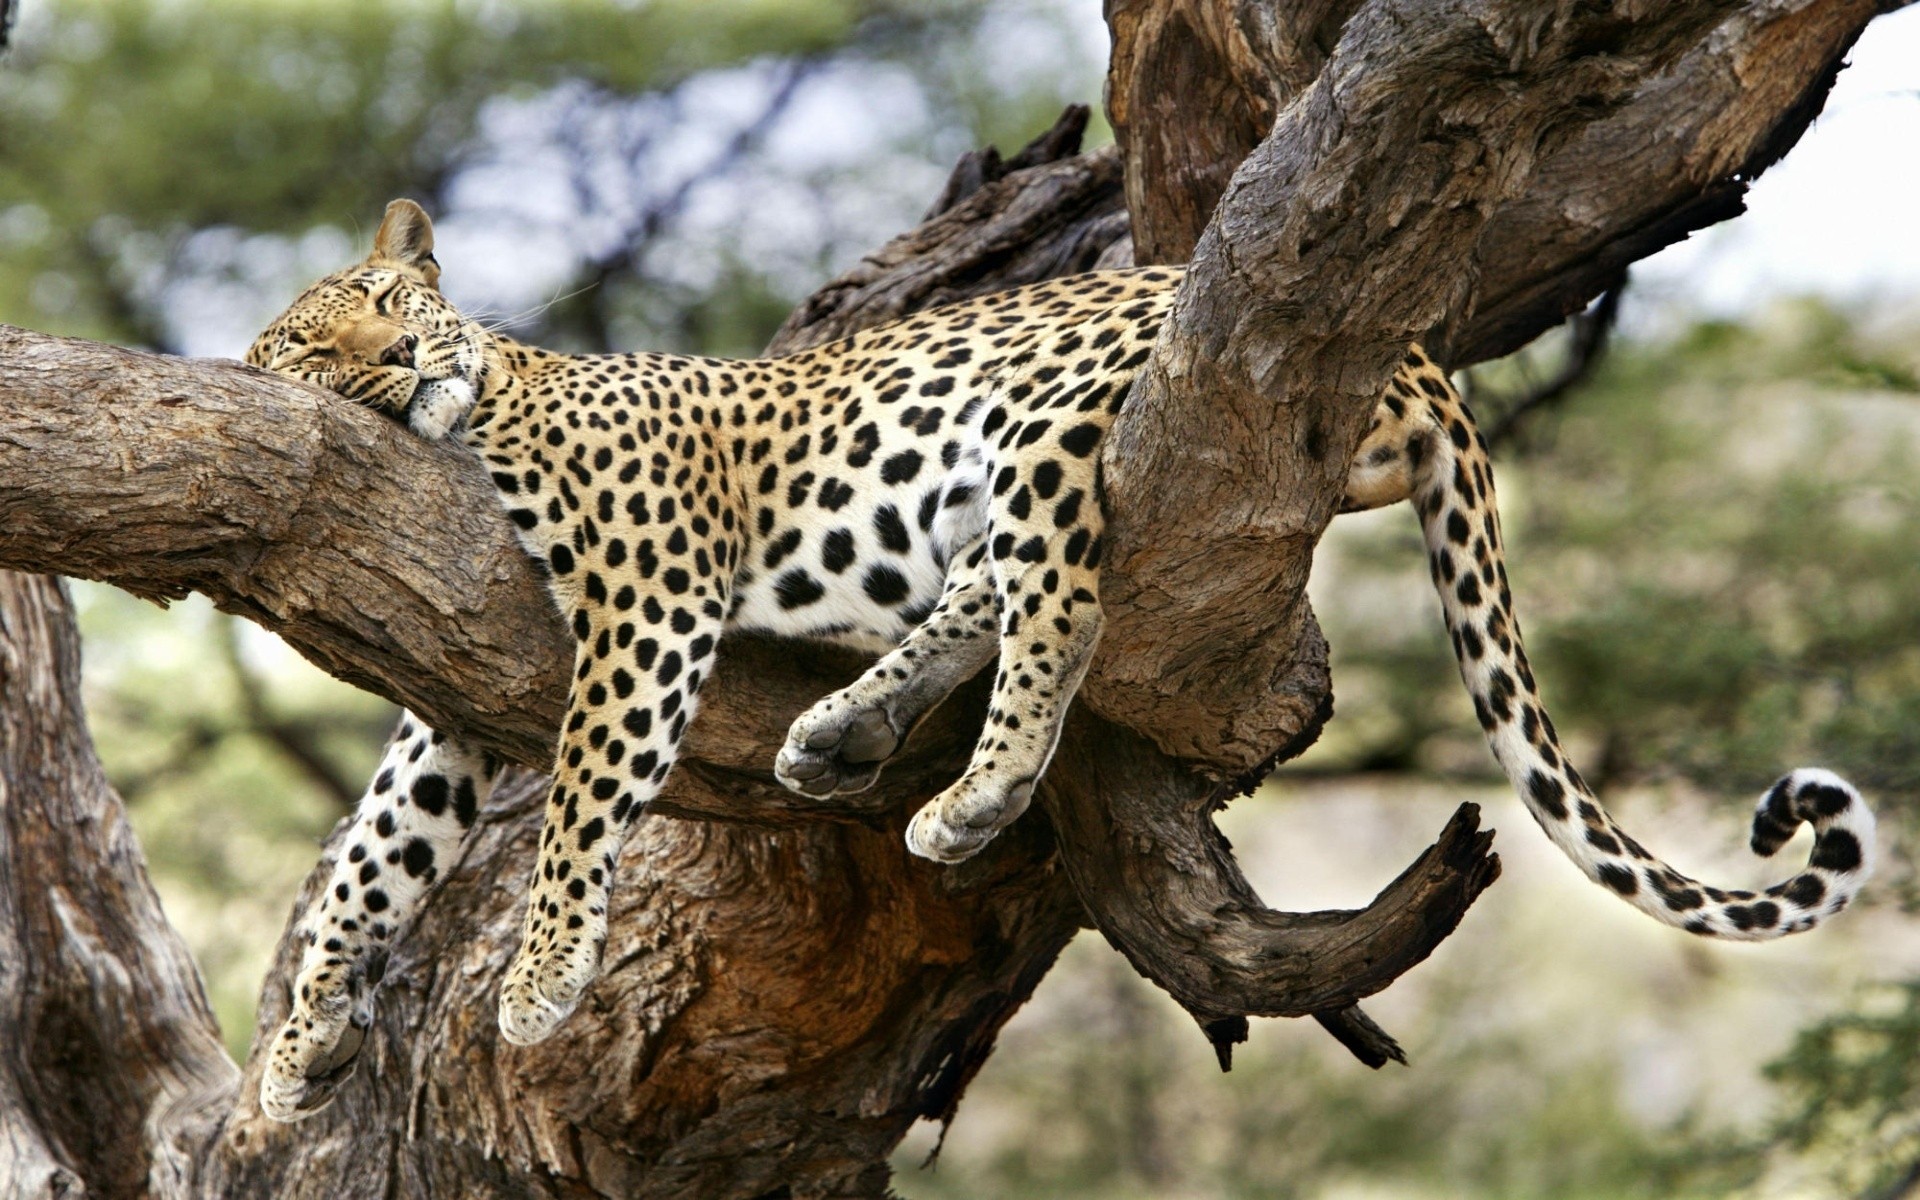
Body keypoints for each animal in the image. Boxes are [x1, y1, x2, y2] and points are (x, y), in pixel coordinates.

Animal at [243, 198, 1873, 1121]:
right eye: (316, 351)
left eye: (387, 306)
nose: (402, 363)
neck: (486, 410)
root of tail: (1416, 351)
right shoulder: (452, 697)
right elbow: (372, 856)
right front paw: (294, 1051)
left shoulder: (647, 600)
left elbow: (582, 801)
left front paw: (534, 985)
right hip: (972, 486)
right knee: (992, 590)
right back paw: (843, 732)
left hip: (1038, 418)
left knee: (1064, 604)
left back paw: (968, 795)